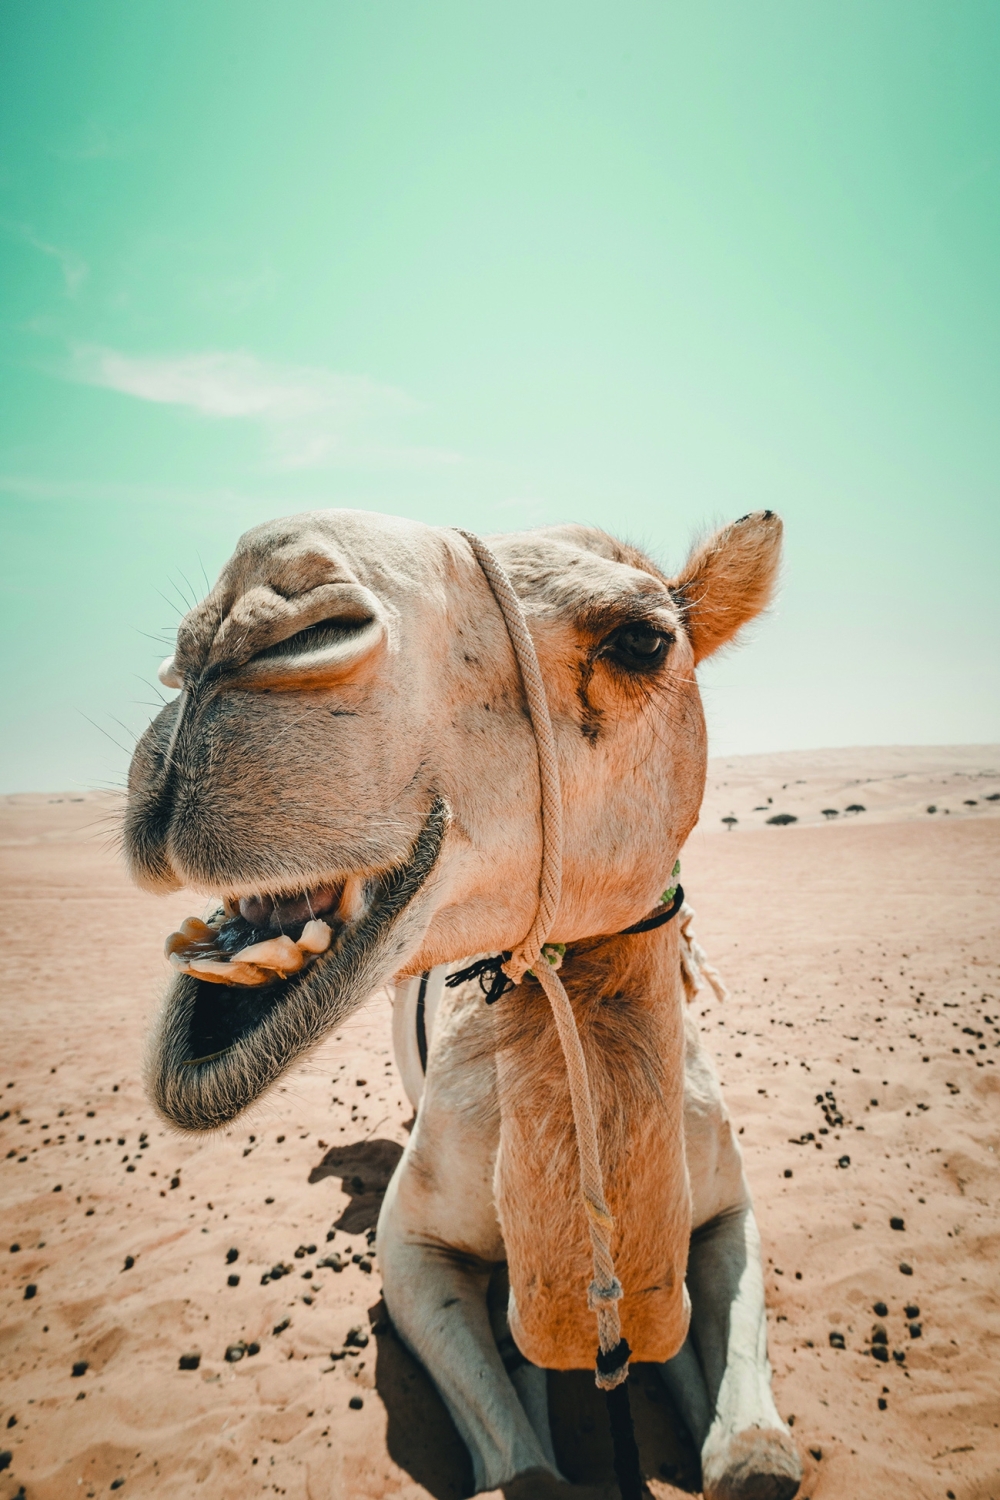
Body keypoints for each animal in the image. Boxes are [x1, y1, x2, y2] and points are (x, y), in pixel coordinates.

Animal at [125, 507, 802, 1500]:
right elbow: (526, 1472)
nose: (229, 631)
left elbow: (753, 1458)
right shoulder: (410, 1247)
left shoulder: (730, 1212)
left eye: (643, 640)